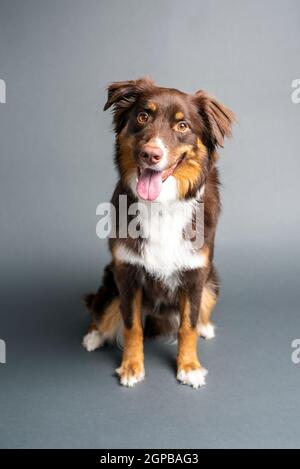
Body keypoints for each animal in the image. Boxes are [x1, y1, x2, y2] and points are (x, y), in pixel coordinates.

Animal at [82, 77, 234, 388]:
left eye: (182, 125)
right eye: (143, 116)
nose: (150, 154)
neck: (162, 204)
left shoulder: (195, 274)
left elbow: (187, 326)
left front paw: (189, 367)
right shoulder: (127, 273)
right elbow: (132, 326)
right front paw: (131, 366)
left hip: (212, 282)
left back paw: (206, 327)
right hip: (110, 281)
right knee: (99, 308)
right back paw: (93, 335)